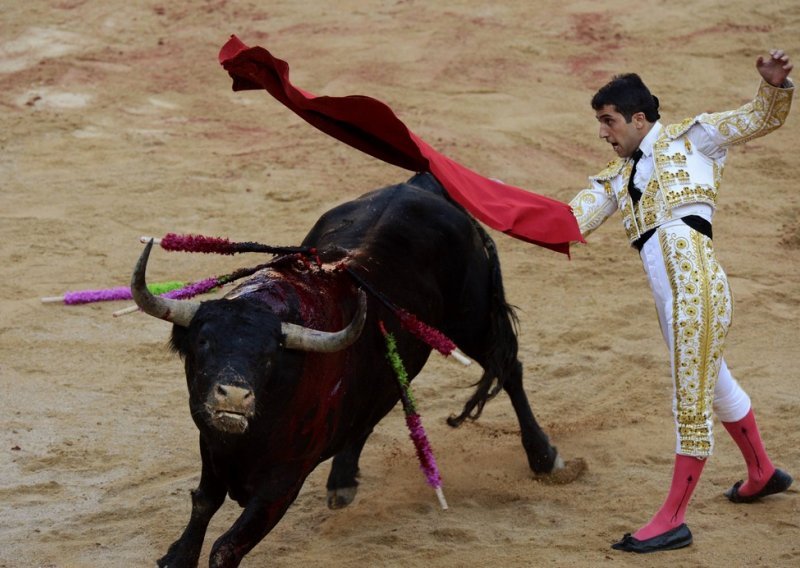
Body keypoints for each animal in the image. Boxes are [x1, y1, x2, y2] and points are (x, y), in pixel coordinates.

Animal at [134, 173, 564, 568]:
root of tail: (422, 183)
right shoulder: (211, 447)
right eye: (204, 342)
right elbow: (204, 503)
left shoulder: (282, 483)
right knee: (373, 407)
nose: (235, 396)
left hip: (472, 319)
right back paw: (342, 481)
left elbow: (227, 546)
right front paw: (176, 556)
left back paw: (545, 457)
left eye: (269, 356)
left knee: (509, 370)